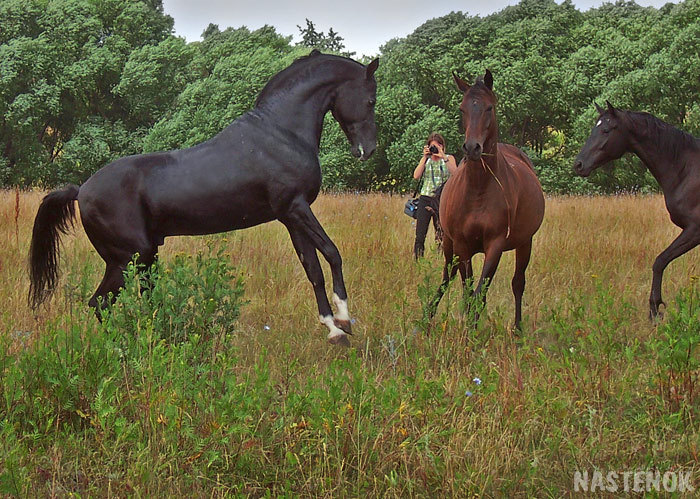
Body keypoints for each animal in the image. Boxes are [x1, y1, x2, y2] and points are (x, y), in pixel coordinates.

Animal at [28, 51, 378, 348]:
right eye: (371, 99)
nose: (368, 150)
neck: (281, 133)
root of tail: (81, 190)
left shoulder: (291, 217)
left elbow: (313, 269)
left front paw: (332, 328)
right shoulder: (297, 208)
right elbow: (333, 253)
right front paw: (344, 320)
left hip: (144, 257)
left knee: (135, 300)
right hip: (128, 258)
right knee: (100, 303)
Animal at [426, 70, 548, 328]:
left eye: (489, 107)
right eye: (462, 108)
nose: (472, 147)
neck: (478, 189)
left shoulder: (496, 245)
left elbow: (480, 294)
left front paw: (472, 329)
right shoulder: (461, 245)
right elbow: (467, 291)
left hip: (525, 243)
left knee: (518, 283)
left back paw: (518, 328)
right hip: (450, 245)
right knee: (447, 277)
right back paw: (427, 314)